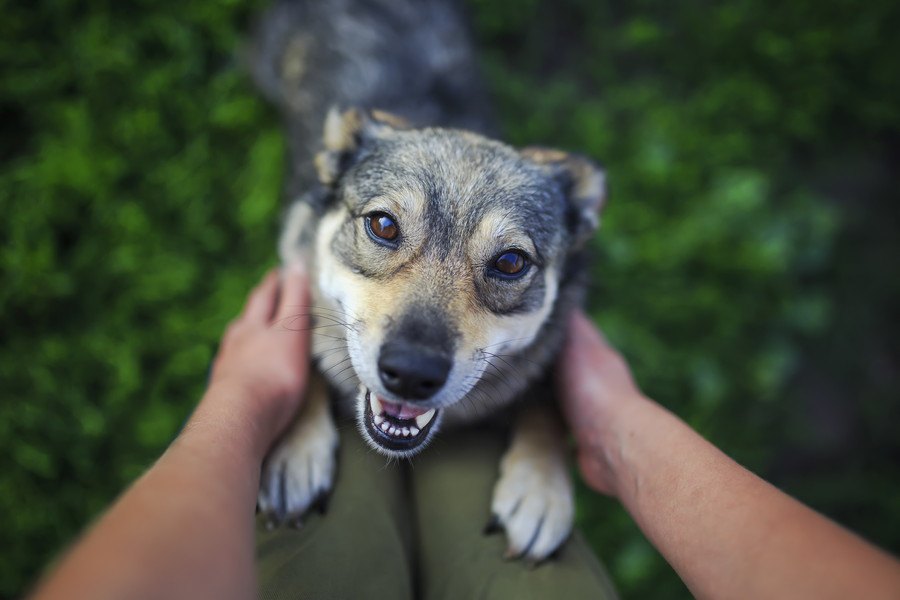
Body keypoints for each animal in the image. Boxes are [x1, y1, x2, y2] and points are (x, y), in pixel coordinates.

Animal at [250, 0, 608, 564]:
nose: (412, 374)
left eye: (511, 262)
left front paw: (540, 487)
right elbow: (304, 351)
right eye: (382, 225)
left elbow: (545, 397)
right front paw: (295, 447)